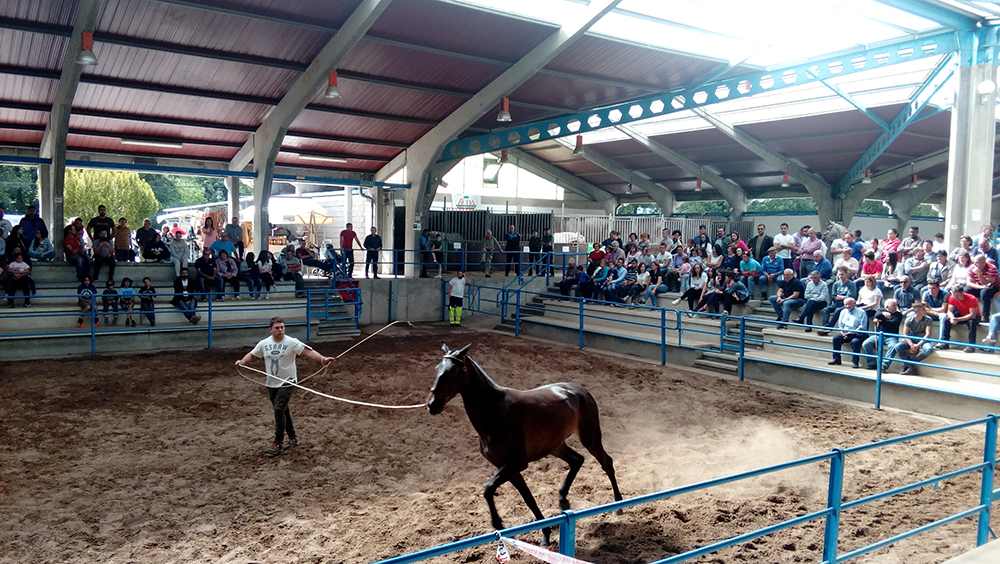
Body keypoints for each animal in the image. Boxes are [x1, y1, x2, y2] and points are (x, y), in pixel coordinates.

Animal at [426, 342, 620, 544]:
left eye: (450, 372)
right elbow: (528, 498)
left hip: (590, 438)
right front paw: (545, 534)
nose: (432, 404)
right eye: (437, 368)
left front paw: (499, 524)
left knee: (606, 462)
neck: (495, 412)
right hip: (555, 446)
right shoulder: (508, 467)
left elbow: (488, 488)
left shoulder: (516, 462)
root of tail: (582, 390)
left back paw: (617, 506)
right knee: (577, 460)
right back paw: (563, 500)